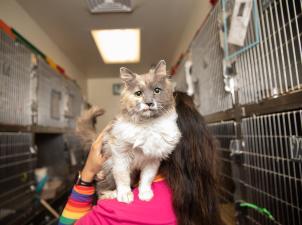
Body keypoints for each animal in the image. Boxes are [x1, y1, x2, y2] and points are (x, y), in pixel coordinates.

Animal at [78, 59, 182, 202]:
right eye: (138, 93)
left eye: (156, 90)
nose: (149, 103)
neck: (148, 125)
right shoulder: (120, 154)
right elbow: (122, 178)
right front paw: (125, 195)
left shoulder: (153, 160)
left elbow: (147, 179)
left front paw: (145, 193)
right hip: (108, 165)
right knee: (100, 188)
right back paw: (111, 194)